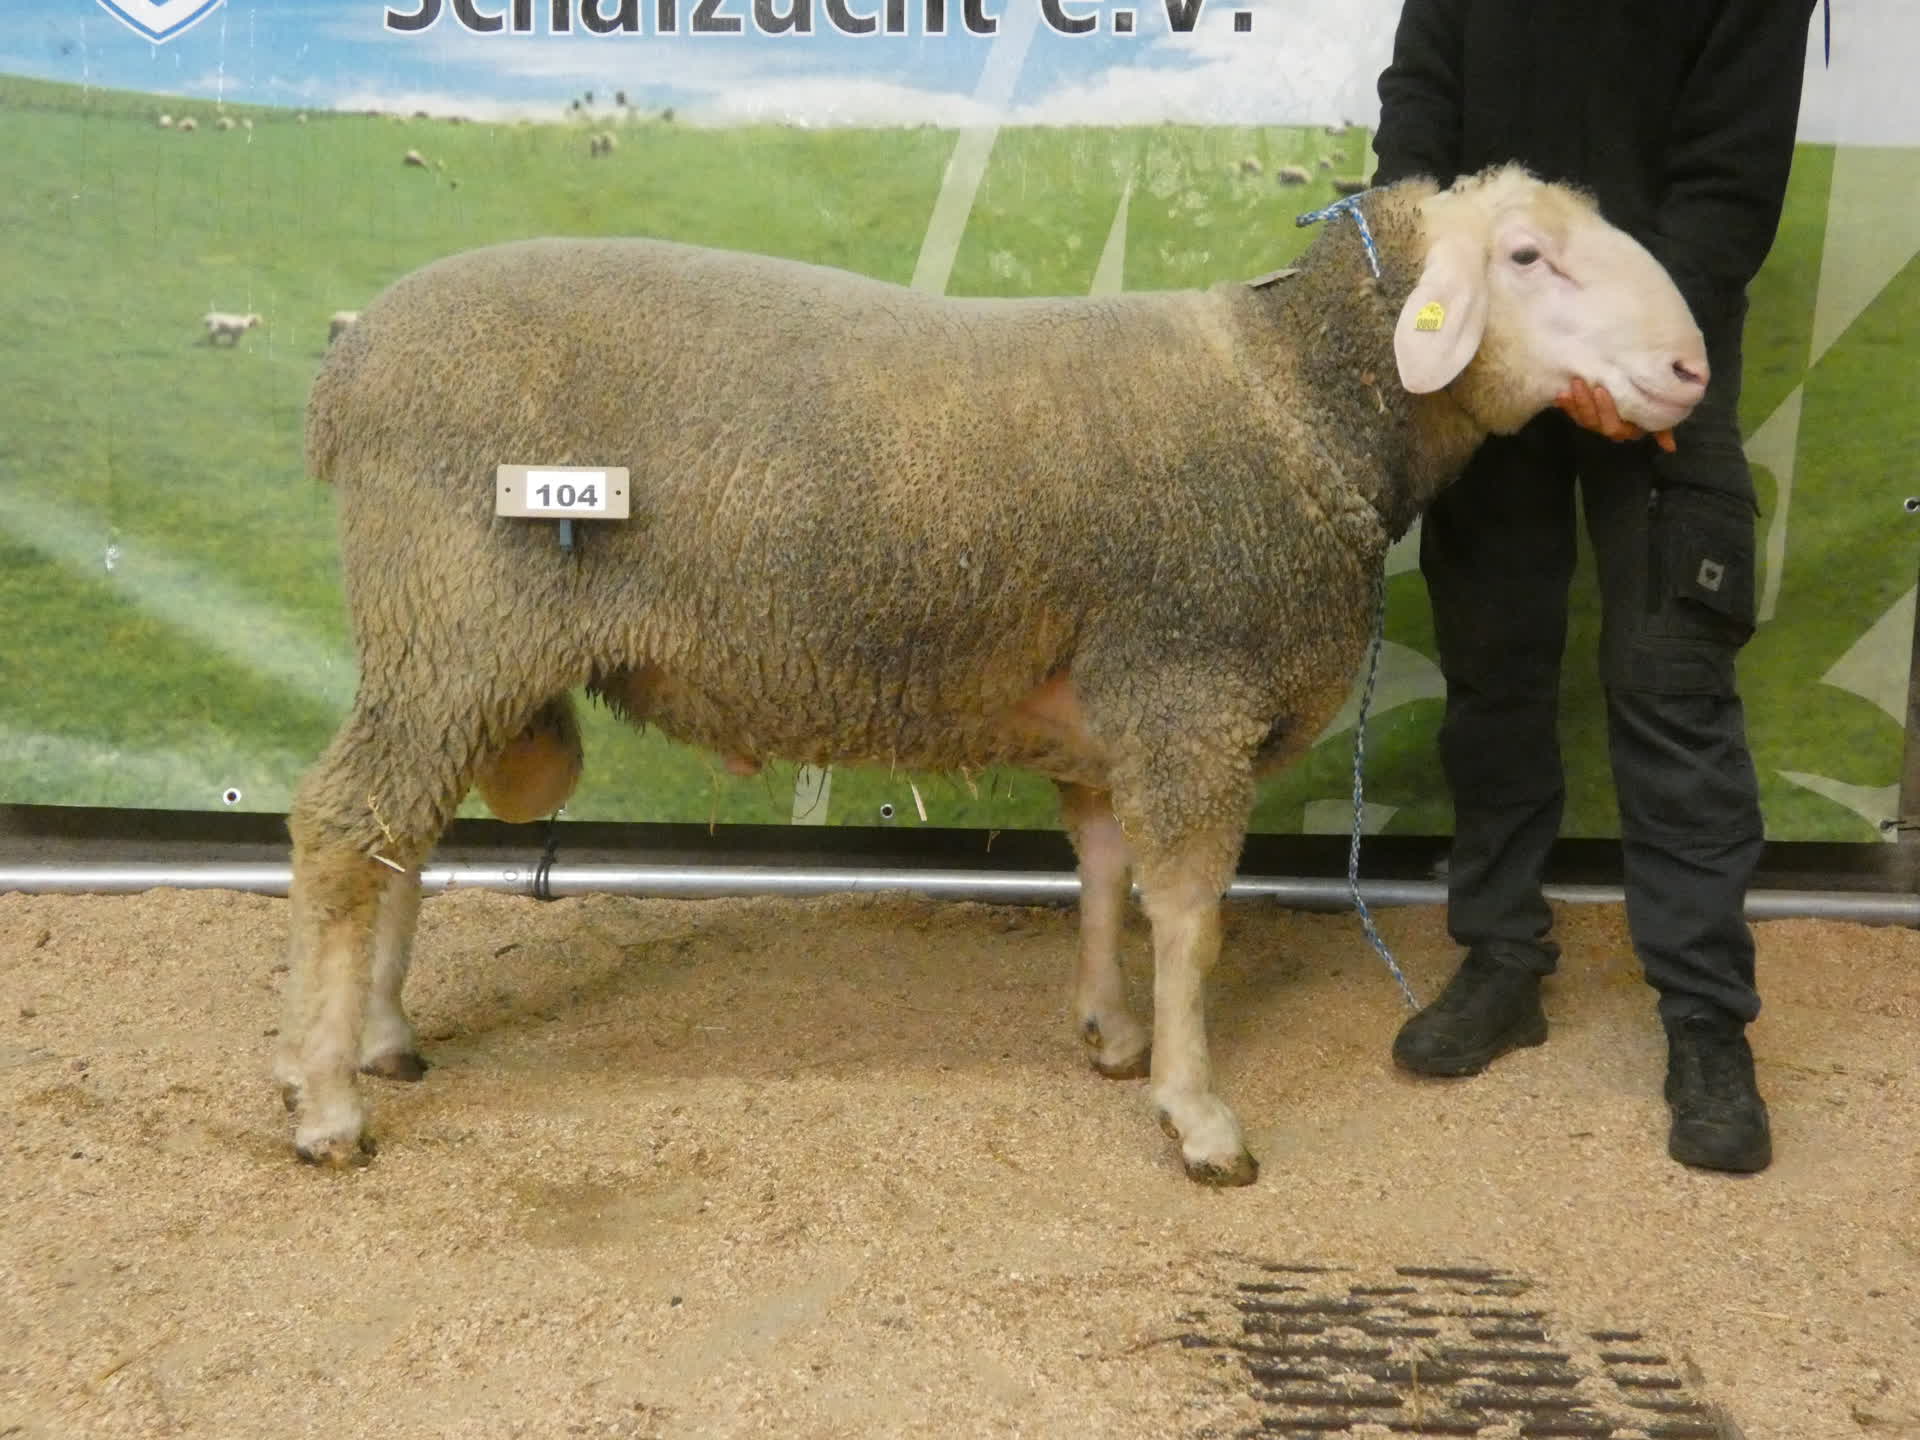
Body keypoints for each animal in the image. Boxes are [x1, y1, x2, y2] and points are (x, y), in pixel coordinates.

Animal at [276, 163, 1710, 1182]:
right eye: (1526, 257)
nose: (1693, 368)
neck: (1300, 401)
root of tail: (345, 370)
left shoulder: (1115, 708)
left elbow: (1106, 874)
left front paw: (1112, 1034)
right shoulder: (1190, 689)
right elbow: (1190, 916)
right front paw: (1198, 1111)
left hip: (452, 646)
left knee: (404, 834)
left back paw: (384, 1039)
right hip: (455, 614)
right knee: (346, 829)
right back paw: (330, 1100)